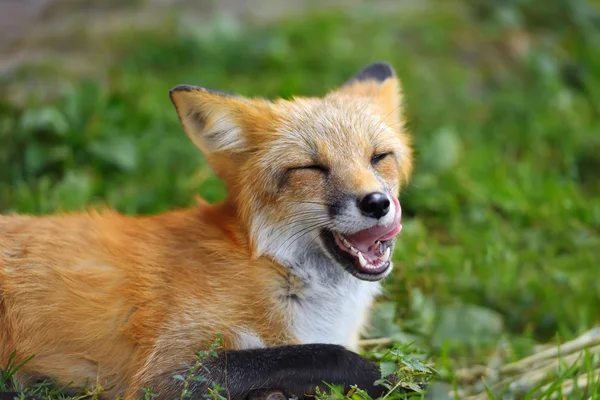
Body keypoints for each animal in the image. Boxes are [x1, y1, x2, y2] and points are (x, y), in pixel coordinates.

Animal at [0, 61, 412, 396]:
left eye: (379, 157)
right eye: (311, 168)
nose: (377, 203)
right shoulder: (166, 374)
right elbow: (322, 355)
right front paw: (396, 379)